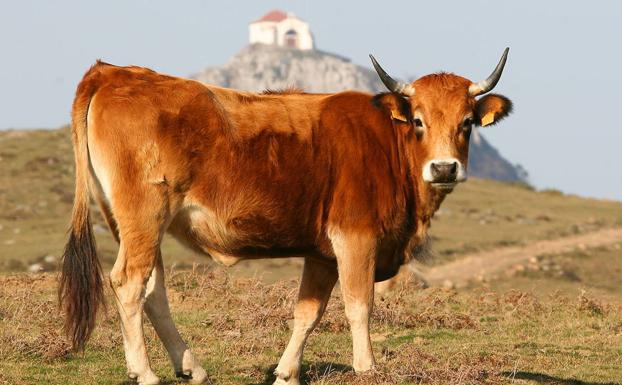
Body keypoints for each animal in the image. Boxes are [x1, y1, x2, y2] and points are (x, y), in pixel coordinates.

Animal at [61, 48, 516, 384]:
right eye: (418, 121)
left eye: (468, 123)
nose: (444, 168)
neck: (388, 143)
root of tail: (114, 72)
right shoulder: (356, 237)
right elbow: (359, 304)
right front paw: (367, 368)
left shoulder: (322, 252)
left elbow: (307, 312)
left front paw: (286, 372)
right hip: (144, 216)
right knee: (129, 283)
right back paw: (145, 372)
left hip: (135, 225)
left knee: (153, 291)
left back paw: (190, 367)